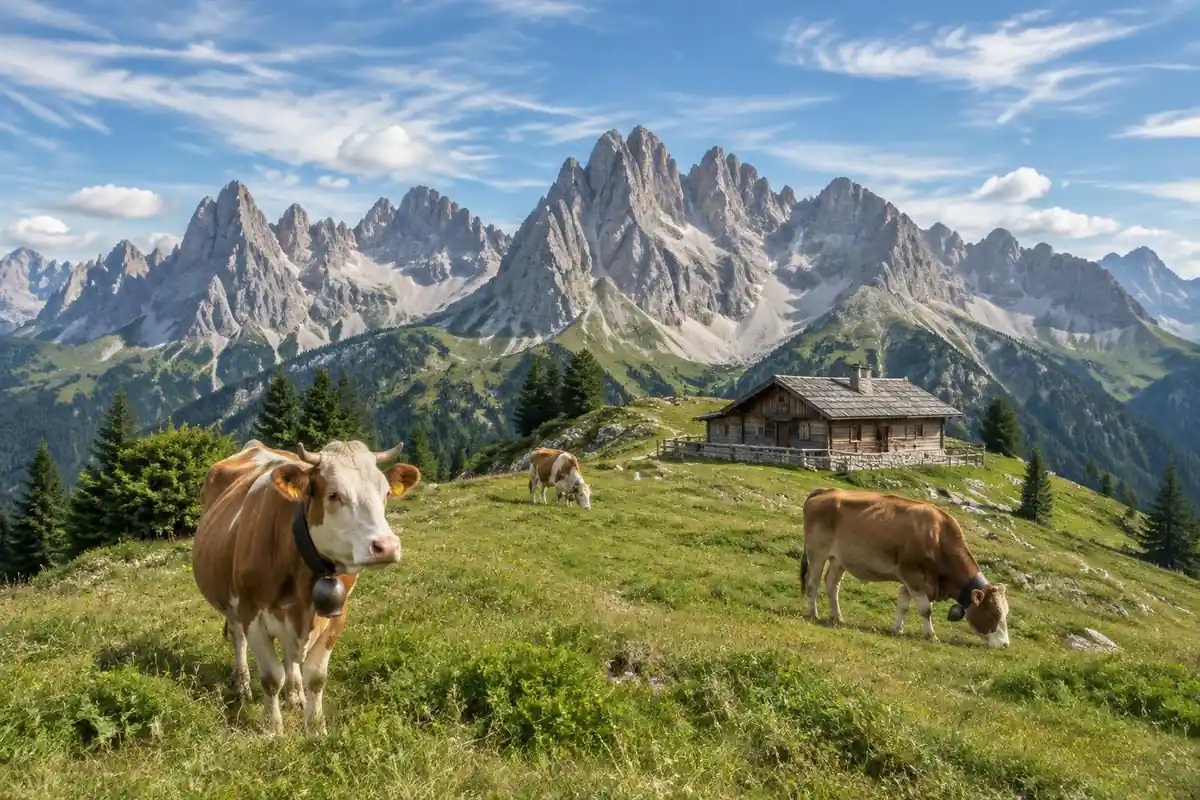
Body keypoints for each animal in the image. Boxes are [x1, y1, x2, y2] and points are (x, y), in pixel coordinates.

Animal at [191, 438, 421, 736]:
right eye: (334, 494)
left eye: (384, 493)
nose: (387, 546)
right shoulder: (252, 615)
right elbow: (271, 677)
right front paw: (273, 729)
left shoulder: (337, 616)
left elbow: (316, 677)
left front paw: (316, 728)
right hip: (232, 605)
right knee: (238, 639)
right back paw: (242, 685)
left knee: (290, 655)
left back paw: (295, 694)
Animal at [799, 487, 1010, 648]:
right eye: (995, 613)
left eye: (1006, 612)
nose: (1005, 644)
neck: (938, 538)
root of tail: (827, 490)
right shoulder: (913, 576)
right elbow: (925, 610)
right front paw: (931, 635)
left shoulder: (911, 580)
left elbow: (903, 605)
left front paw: (897, 629)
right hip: (816, 553)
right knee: (812, 583)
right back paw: (813, 614)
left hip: (839, 559)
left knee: (832, 585)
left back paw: (837, 617)